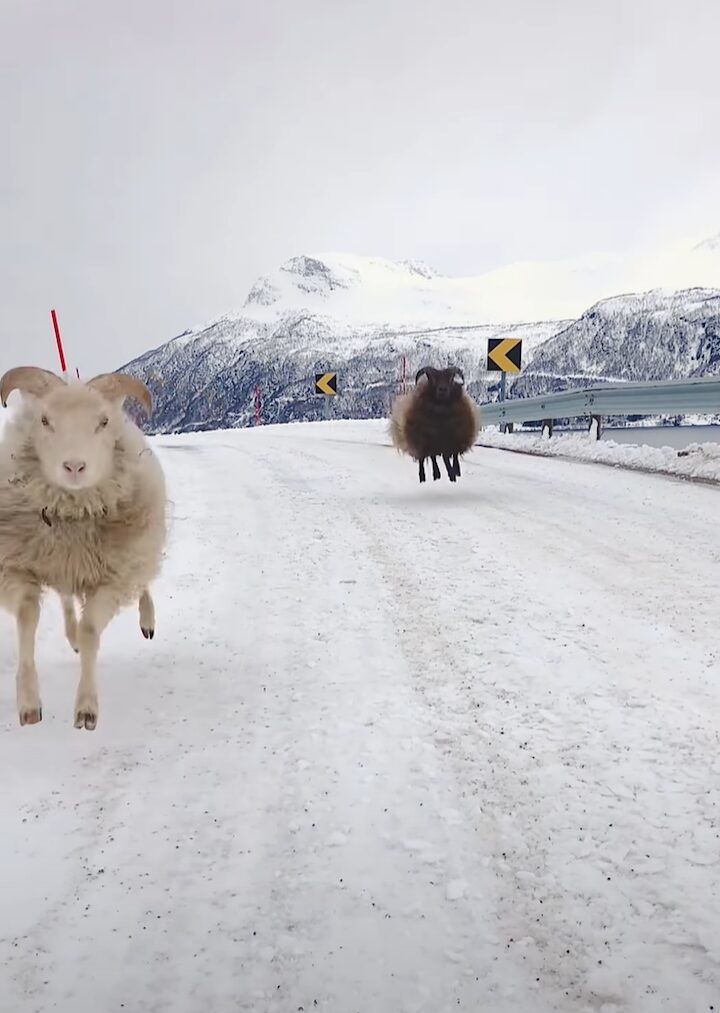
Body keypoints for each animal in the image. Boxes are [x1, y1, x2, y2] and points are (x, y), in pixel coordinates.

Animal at [0, 368, 167, 733]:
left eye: (103, 421)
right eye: (44, 420)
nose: (74, 466)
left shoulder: (114, 577)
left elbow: (91, 631)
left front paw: (86, 708)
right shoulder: (14, 566)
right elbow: (28, 615)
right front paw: (28, 702)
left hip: (137, 550)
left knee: (143, 584)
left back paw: (147, 619)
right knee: (65, 598)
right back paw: (71, 632)